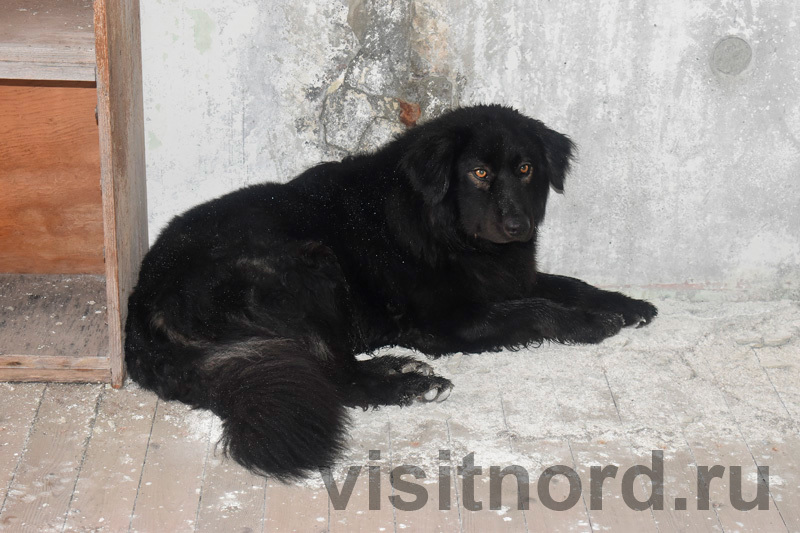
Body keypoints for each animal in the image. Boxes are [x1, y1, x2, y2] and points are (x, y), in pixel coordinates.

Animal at [125, 104, 656, 478]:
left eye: (525, 169)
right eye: (479, 173)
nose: (517, 225)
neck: (444, 227)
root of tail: (143, 310)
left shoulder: (512, 277)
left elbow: (567, 284)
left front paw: (625, 304)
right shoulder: (449, 321)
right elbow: (538, 308)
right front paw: (590, 323)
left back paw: (398, 368)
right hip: (308, 269)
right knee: (336, 378)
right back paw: (410, 385)